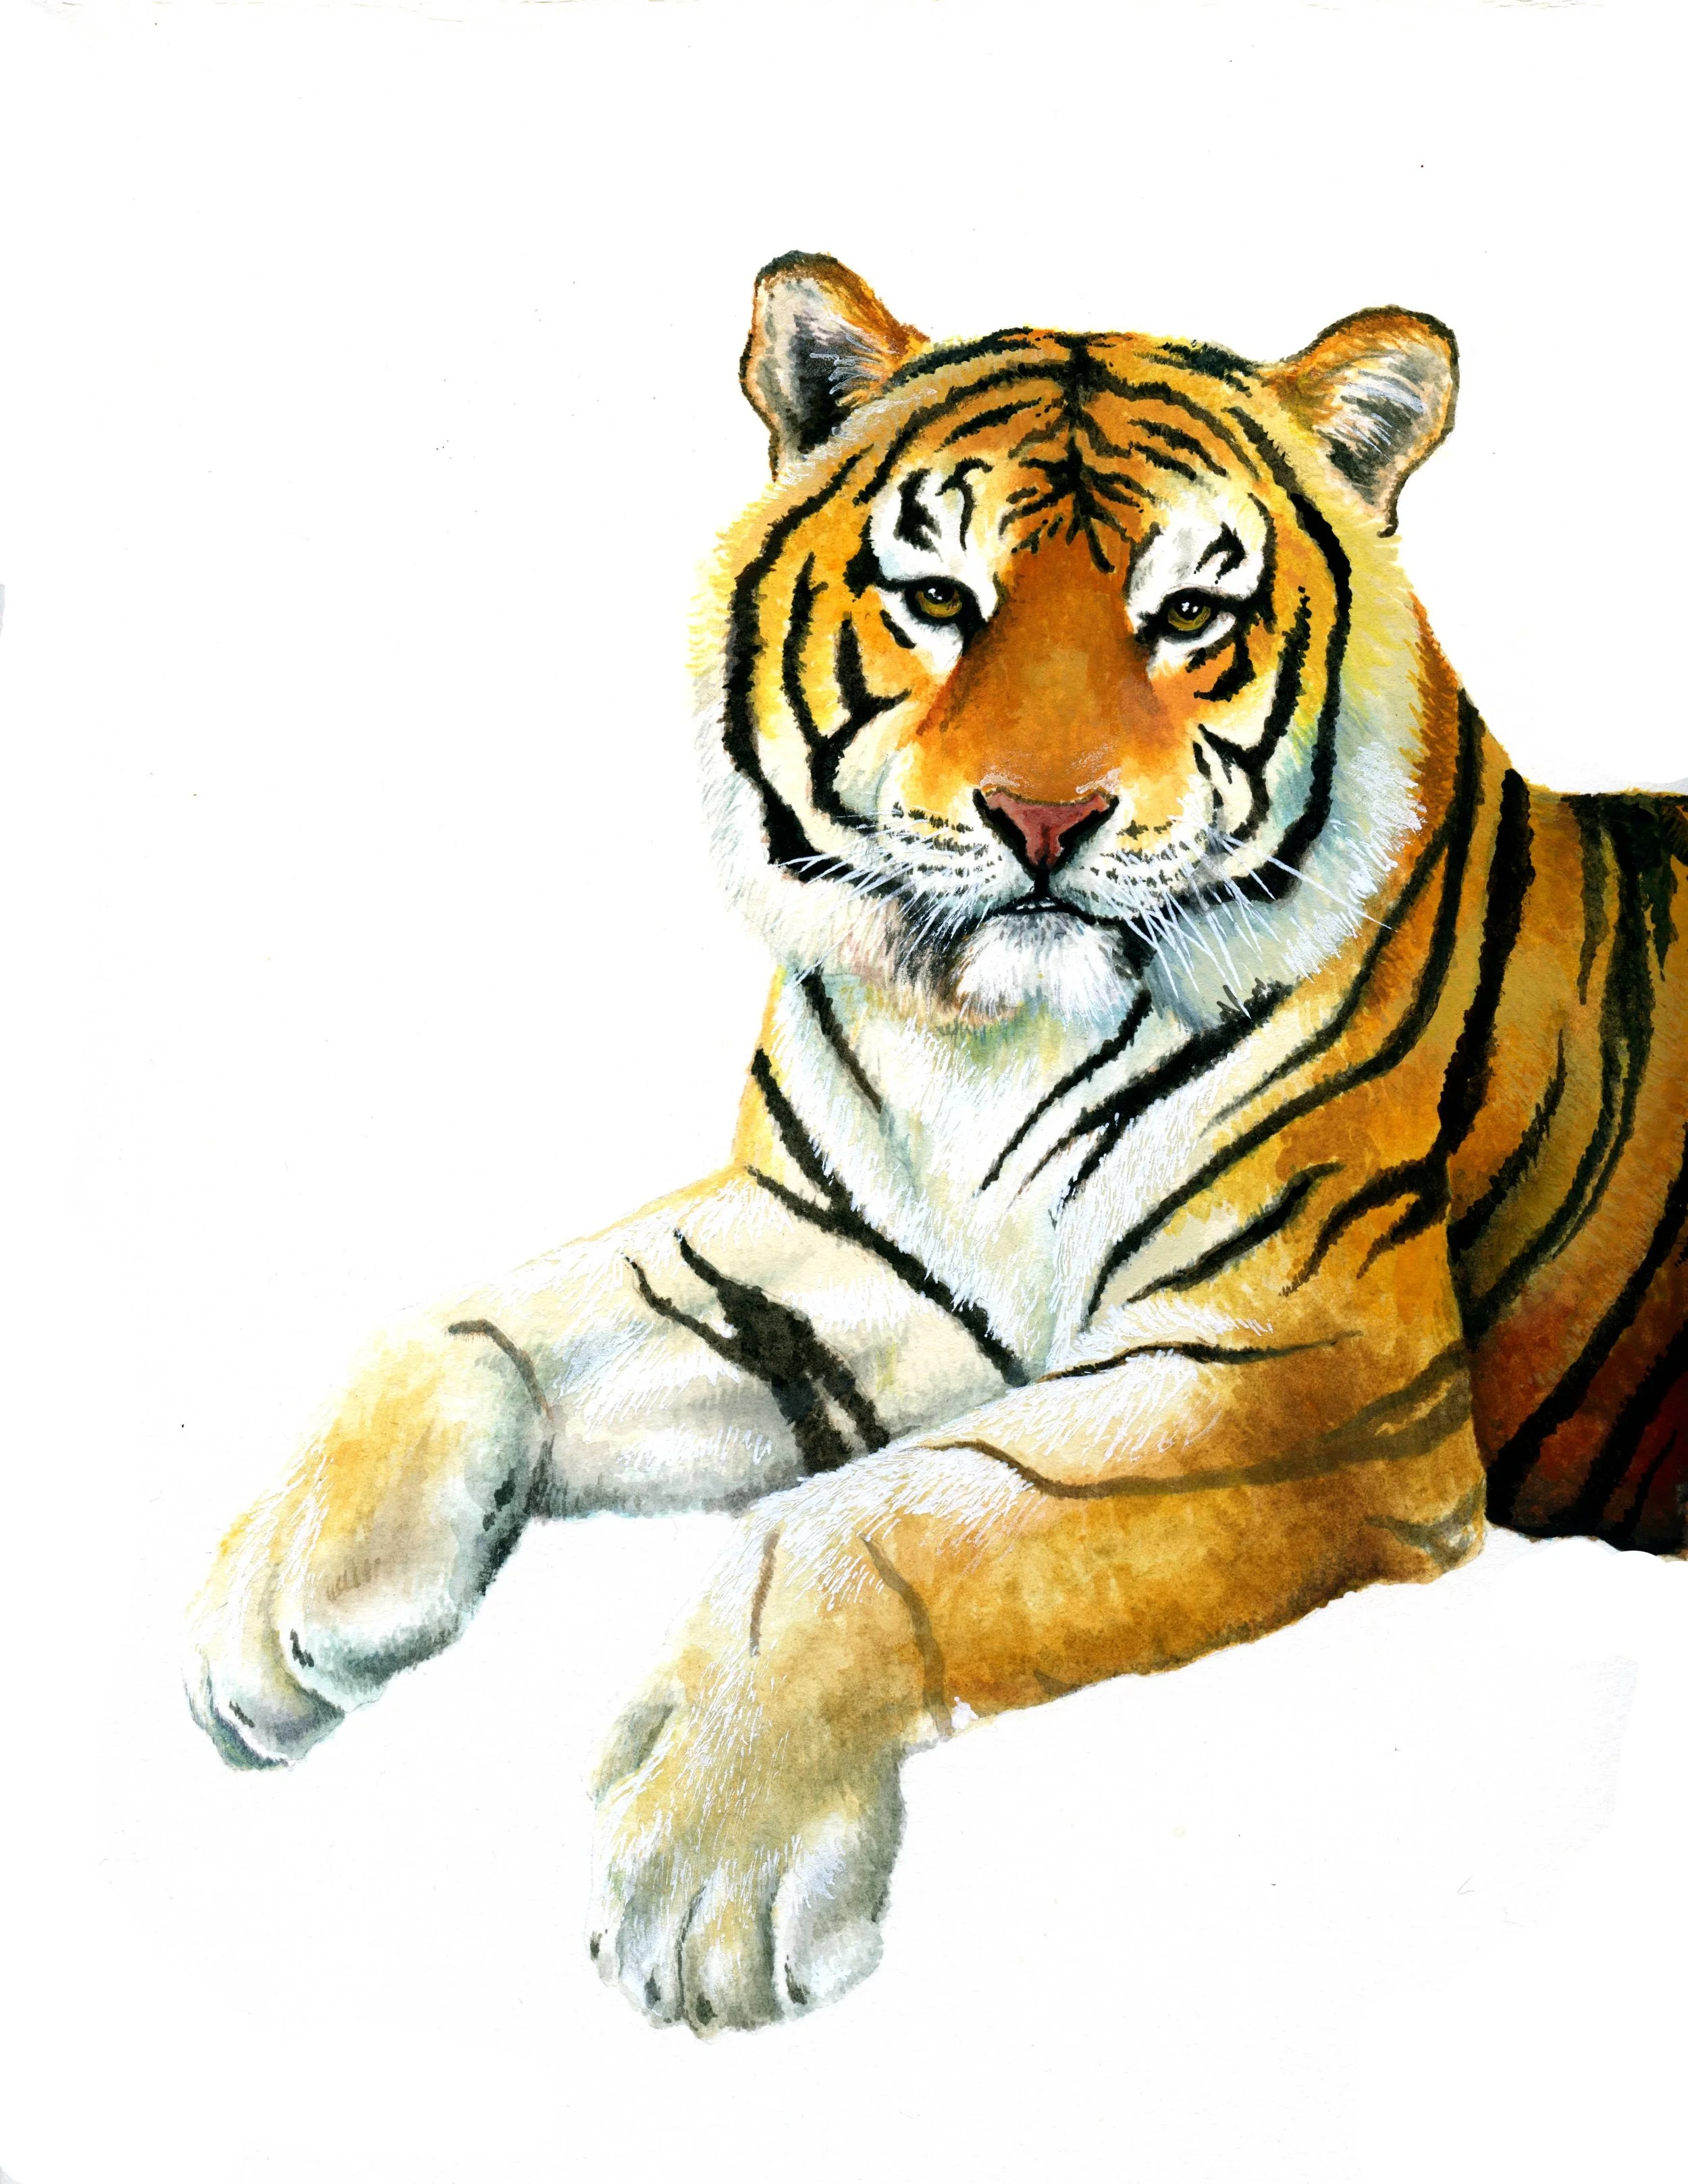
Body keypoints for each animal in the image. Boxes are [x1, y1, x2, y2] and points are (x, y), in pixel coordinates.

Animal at [188, 253, 1688, 2036]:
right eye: (939, 599)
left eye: (1188, 617)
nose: (1043, 821)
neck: (980, 1045)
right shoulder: (836, 1255)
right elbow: (464, 1318)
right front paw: (290, 1592)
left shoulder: (1316, 1375)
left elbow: (883, 1522)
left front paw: (712, 1860)